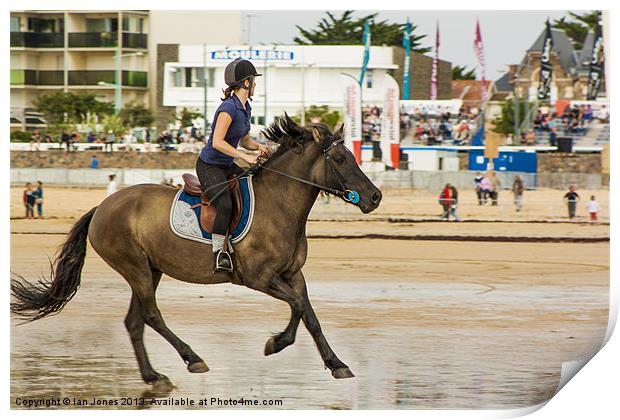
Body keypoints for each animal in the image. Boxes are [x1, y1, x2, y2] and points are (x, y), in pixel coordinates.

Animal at [10, 115, 382, 388]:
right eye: (340, 159)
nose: (375, 197)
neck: (280, 205)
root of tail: (103, 206)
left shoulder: (293, 274)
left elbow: (309, 314)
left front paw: (337, 364)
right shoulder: (259, 277)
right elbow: (296, 306)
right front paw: (275, 344)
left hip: (150, 269)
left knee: (135, 321)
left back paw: (153, 376)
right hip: (135, 267)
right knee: (151, 315)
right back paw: (192, 359)